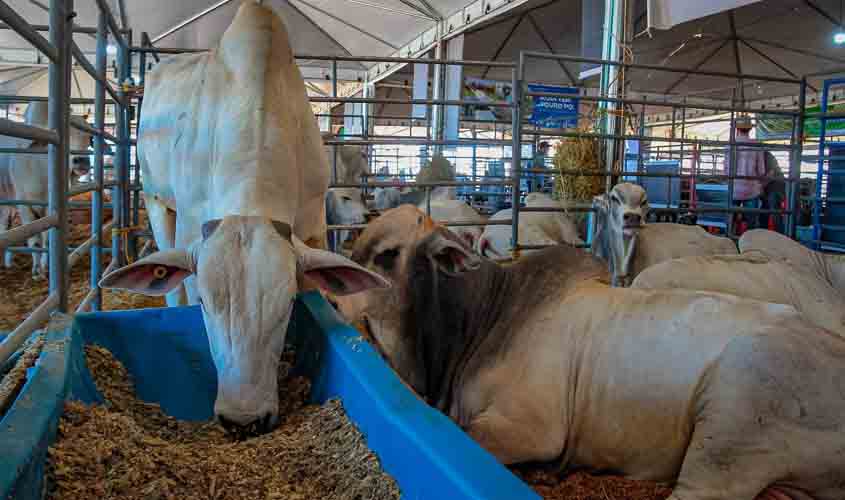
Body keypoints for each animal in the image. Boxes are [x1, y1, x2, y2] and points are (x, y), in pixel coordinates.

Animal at [100, 0, 388, 434]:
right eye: (205, 303)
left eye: (288, 304)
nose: (243, 419)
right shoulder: (189, 223)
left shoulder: (314, 220)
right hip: (155, 199)